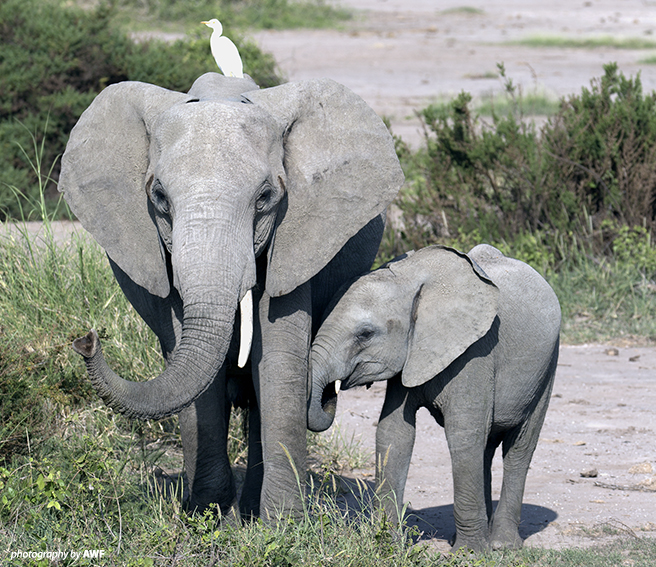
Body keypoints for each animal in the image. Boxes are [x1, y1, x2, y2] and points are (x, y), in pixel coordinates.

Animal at [59, 73, 402, 520]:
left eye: (265, 198)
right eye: (159, 198)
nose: (85, 340)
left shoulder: (294, 239)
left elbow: (278, 361)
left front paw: (282, 524)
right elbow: (194, 373)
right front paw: (207, 514)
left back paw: (255, 510)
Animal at [306, 245, 560, 556]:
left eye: (365, 334)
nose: (331, 392)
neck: (410, 278)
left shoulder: (475, 352)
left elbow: (463, 435)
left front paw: (469, 555)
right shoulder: (410, 353)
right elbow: (394, 433)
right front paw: (389, 546)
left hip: (548, 365)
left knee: (519, 448)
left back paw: (502, 545)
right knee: (485, 448)